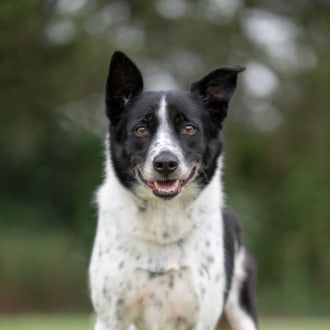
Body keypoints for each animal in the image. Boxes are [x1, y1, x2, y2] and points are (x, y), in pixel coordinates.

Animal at [89, 51, 260, 330]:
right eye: (141, 129)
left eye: (189, 128)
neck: (163, 223)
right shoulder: (110, 318)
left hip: (242, 313)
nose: (166, 163)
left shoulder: (201, 319)